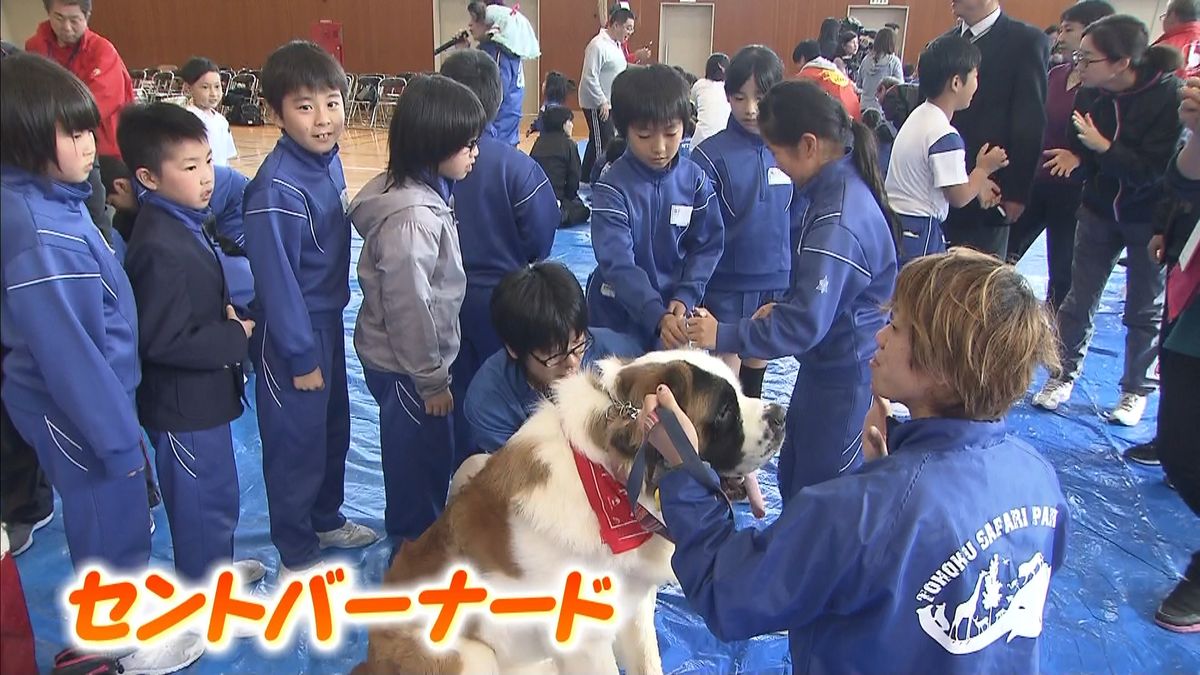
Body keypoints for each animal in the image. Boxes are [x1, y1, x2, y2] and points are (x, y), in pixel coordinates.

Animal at [352, 348, 787, 667]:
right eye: (725, 412)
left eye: (741, 393)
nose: (781, 414)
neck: (609, 483)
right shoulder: (585, 643)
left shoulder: (635, 612)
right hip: (470, 657)